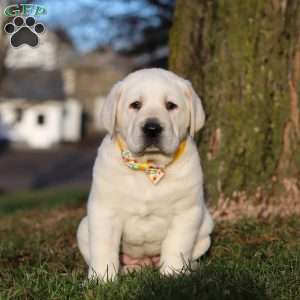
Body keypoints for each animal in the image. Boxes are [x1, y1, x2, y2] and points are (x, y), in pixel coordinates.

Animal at [77, 68, 213, 282]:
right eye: (136, 105)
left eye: (171, 105)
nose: (152, 128)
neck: (149, 167)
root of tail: (146, 263)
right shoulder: (104, 211)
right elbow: (104, 248)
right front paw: (101, 280)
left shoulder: (186, 212)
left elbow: (176, 245)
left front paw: (172, 274)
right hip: (83, 228)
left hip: (206, 228)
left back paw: (190, 268)